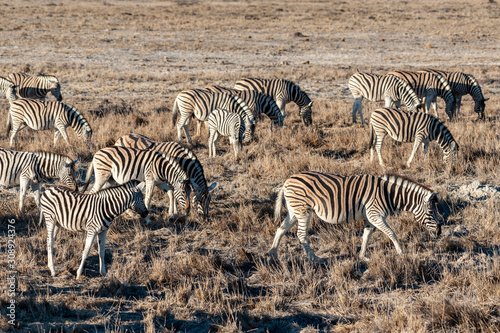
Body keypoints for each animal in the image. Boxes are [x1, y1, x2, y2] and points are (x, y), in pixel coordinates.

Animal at [270, 171, 442, 262]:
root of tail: (287, 181)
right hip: (303, 210)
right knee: (300, 234)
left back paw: (272, 254)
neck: (389, 194)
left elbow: (366, 236)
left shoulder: (370, 218)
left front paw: (363, 257)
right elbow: (391, 233)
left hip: (294, 211)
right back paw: (314, 258)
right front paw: (401, 253)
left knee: (281, 229)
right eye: (431, 213)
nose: (439, 232)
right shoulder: (375, 215)